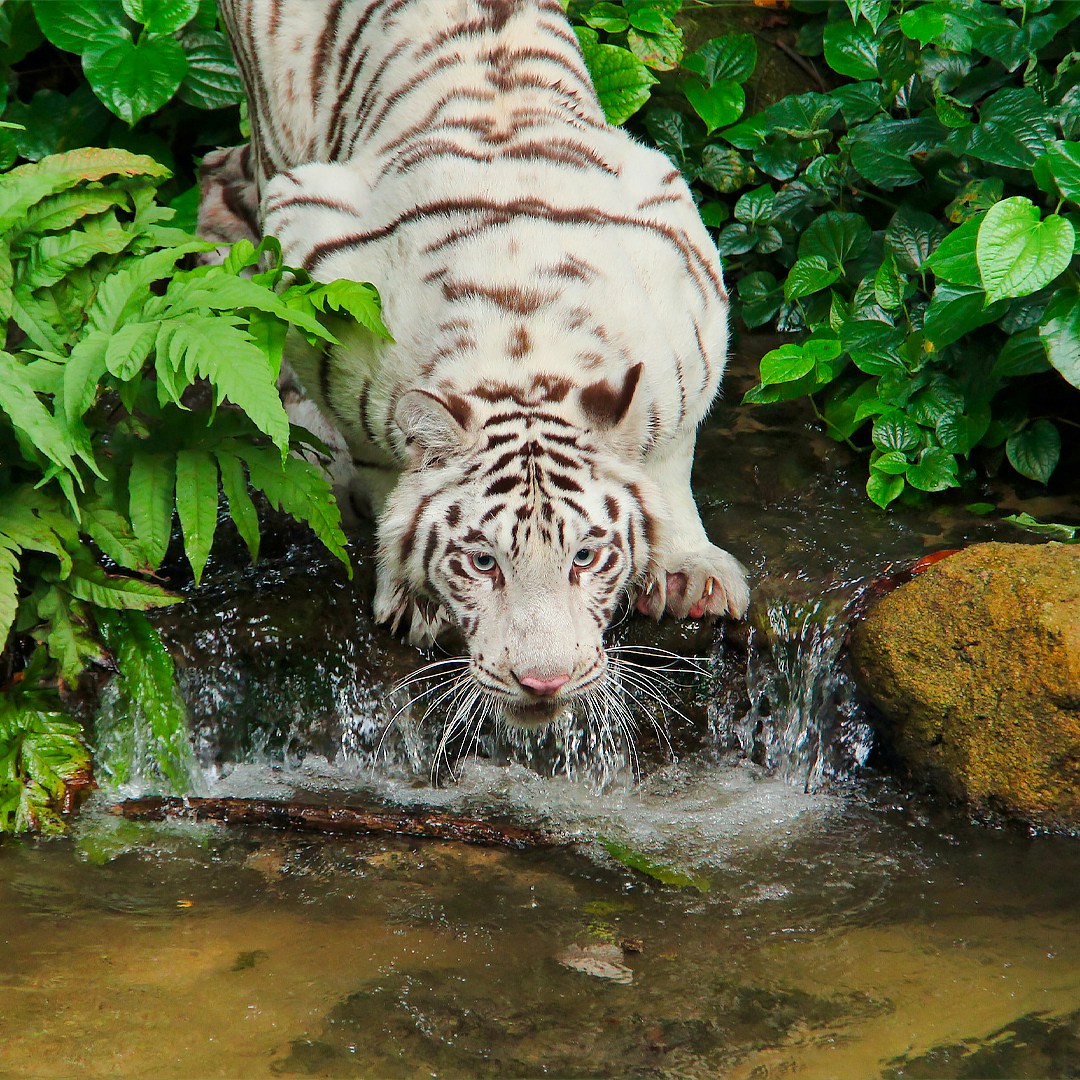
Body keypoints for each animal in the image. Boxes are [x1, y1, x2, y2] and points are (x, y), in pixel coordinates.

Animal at [201, 0, 750, 727]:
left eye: (585, 556)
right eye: (483, 562)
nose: (544, 682)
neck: (524, 350)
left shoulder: (688, 292)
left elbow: (671, 453)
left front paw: (693, 573)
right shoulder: (317, 269)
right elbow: (378, 458)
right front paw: (410, 590)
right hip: (278, 132)